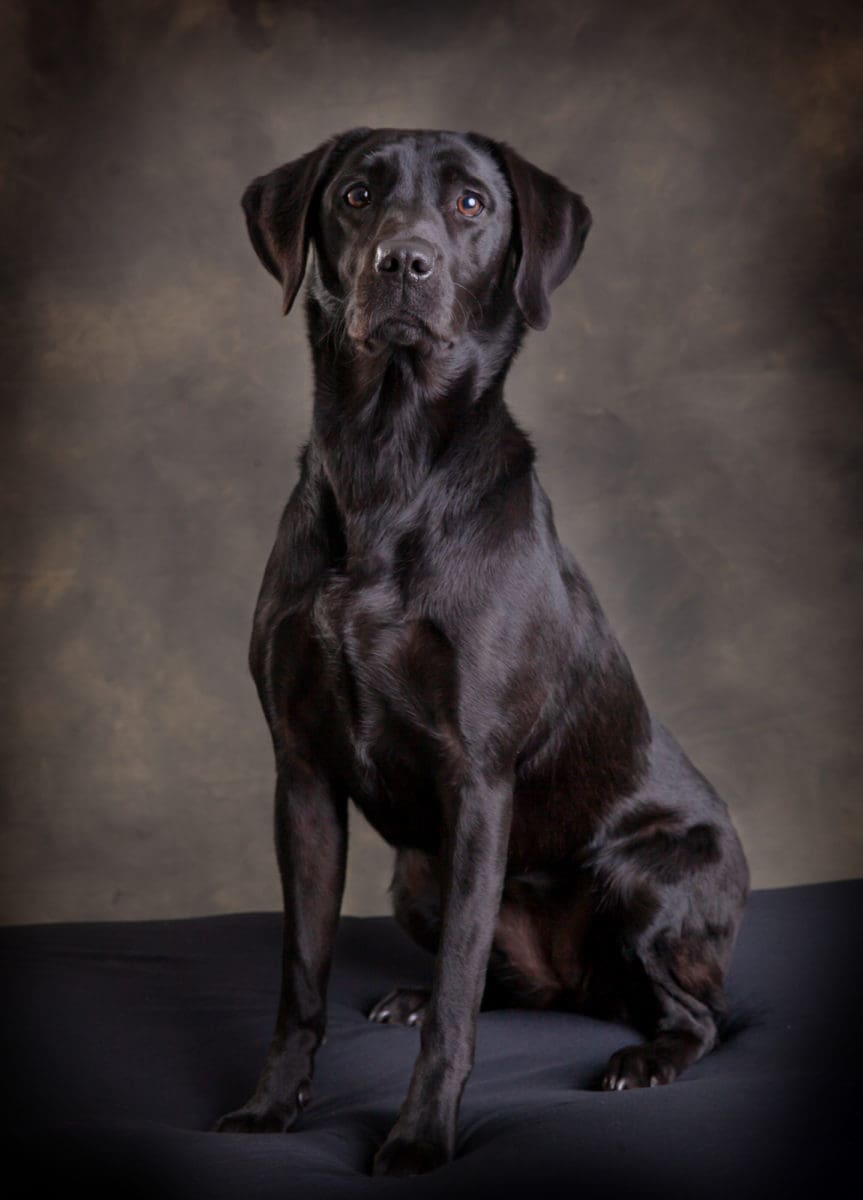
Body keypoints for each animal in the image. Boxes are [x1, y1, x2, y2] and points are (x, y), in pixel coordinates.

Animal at [216, 126, 748, 1176]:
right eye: (354, 194)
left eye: (470, 205)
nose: (404, 263)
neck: (388, 464)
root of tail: (580, 982)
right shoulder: (302, 776)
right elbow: (303, 977)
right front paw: (268, 1108)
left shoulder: (477, 781)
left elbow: (461, 1001)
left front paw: (421, 1137)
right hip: (416, 876)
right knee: (500, 981)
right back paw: (416, 995)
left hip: (649, 881)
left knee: (695, 1015)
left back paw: (644, 1057)